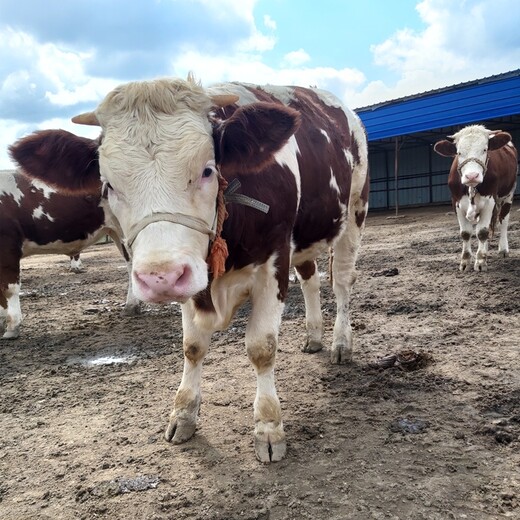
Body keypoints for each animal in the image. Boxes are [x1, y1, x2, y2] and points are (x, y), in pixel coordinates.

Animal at [434, 125, 516, 272]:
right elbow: (466, 233)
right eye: (458, 152)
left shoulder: (489, 201)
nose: (472, 176)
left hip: (509, 194)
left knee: (503, 220)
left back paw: (503, 249)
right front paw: (465, 262)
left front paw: (481, 261)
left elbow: (482, 232)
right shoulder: (456, 202)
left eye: (485, 149)